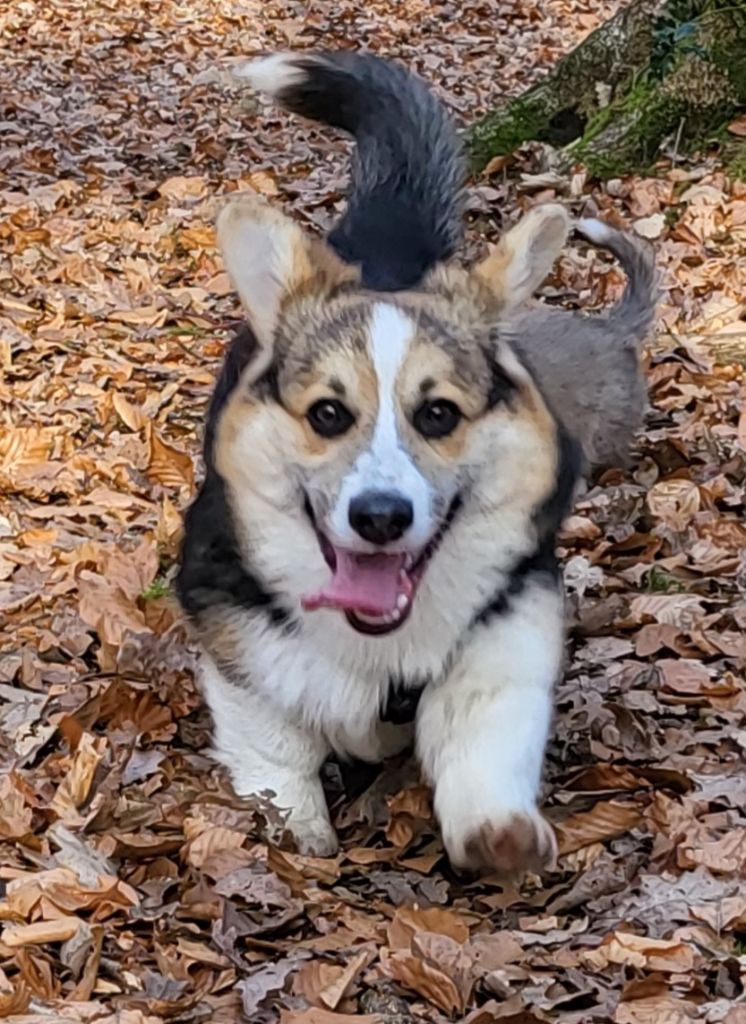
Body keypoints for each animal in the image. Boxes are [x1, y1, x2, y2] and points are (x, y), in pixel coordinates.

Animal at [177, 51, 654, 872]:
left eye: (439, 415)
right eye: (327, 414)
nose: (380, 517)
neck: (379, 643)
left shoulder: (511, 618)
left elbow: (485, 728)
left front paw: (498, 830)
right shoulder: (232, 628)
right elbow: (274, 738)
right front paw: (294, 830)